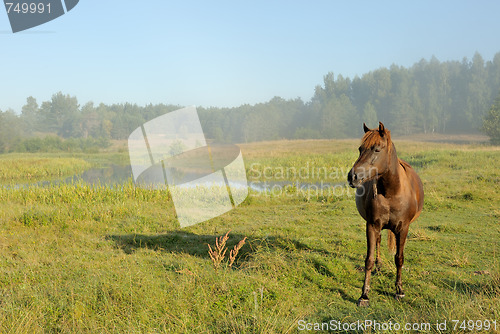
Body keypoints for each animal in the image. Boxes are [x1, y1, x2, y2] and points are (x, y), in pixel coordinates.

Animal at [348, 122, 422, 306]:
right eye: (360, 149)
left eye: (376, 149)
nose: (352, 176)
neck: (391, 192)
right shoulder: (372, 225)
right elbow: (368, 259)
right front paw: (364, 295)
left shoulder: (403, 228)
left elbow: (399, 258)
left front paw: (399, 291)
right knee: (378, 243)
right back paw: (379, 266)